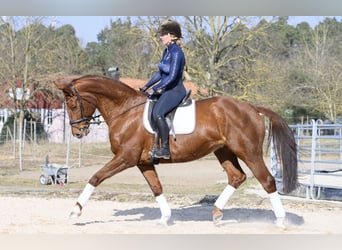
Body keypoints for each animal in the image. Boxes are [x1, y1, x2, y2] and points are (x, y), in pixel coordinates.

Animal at [53, 74, 296, 229]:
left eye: (72, 105)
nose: (78, 132)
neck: (125, 110)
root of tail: (252, 108)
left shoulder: (125, 157)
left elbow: (96, 177)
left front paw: (75, 210)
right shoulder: (143, 162)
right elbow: (156, 187)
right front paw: (165, 218)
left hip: (249, 152)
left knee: (266, 180)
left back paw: (281, 221)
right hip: (224, 151)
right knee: (237, 176)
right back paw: (217, 213)